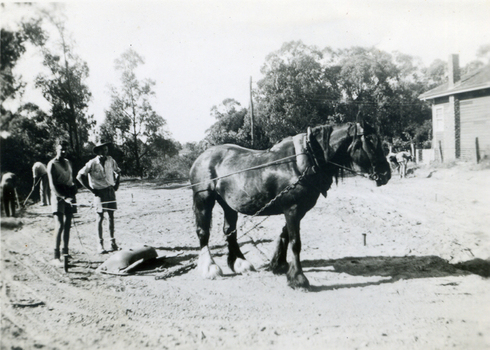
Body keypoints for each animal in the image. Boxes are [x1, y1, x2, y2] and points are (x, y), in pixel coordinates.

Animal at [189, 121, 392, 288]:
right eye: (370, 141)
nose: (386, 174)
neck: (306, 160)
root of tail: (202, 157)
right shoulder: (292, 209)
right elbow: (295, 242)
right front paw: (298, 279)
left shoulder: (298, 210)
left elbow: (285, 234)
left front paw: (279, 264)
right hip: (204, 199)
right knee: (203, 232)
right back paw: (210, 267)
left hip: (228, 205)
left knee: (230, 231)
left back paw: (240, 262)